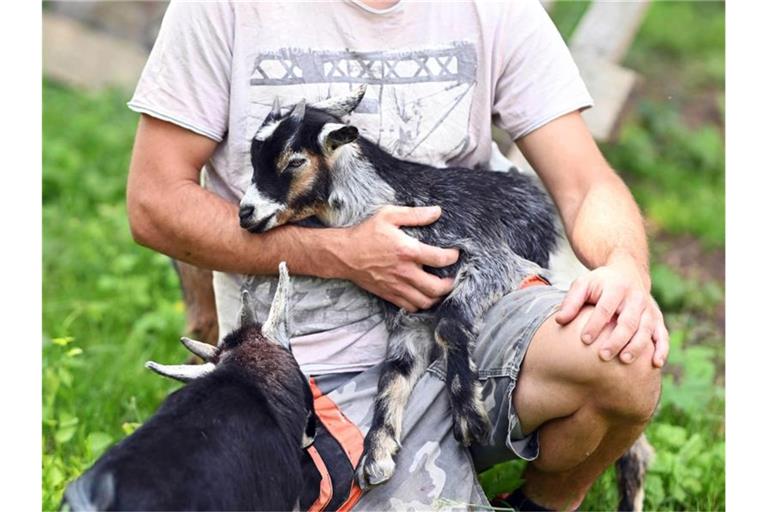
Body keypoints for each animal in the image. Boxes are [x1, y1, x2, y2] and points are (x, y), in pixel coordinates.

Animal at [240, 86, 560, 490]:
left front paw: (469, 419)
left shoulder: (495, 261)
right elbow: (394, 373)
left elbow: (449, 323)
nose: (245, 213)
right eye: (253, 156)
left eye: (295, 161)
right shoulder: (407, 313)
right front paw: (375, 454)